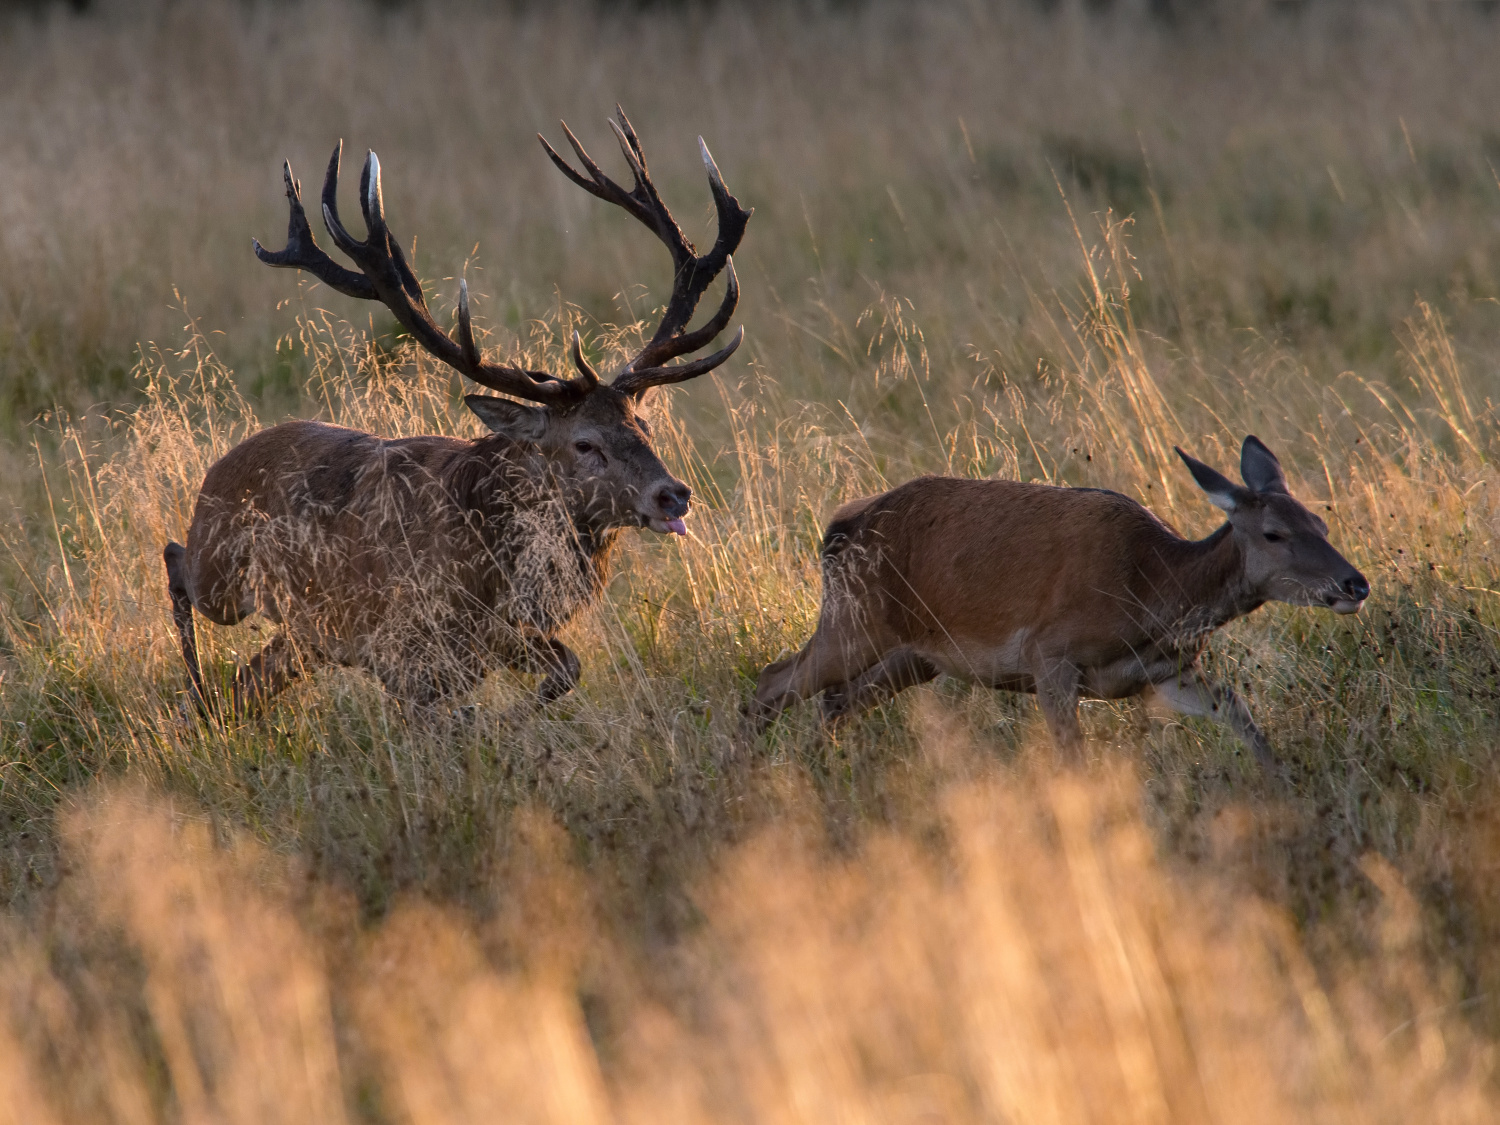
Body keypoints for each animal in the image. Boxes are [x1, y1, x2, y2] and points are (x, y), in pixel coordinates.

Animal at [164, 110, 750, 717]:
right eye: (585, 443)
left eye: (645, 427)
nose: (672, 494)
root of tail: (219, 465)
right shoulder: (404, 644)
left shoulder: (491, 638)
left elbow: (568, 666)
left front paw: (517, 710)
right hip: (222, 574)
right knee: (178, 561)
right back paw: (194, 683)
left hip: (304, 637)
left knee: (245, 681)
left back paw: (207, 706)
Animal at [750, 435, 1374, 774]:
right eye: (1274, 533)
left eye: (1321, 522)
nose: (1355, 584)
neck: (1151, 590)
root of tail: (838, 529)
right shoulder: (1050, 653)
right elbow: (1072, 754)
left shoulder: (1165, 672)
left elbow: (1240, 711)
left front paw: (1282, 782)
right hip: (855, 618)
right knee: (773, 681)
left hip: (914, 656)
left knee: (834, 702)